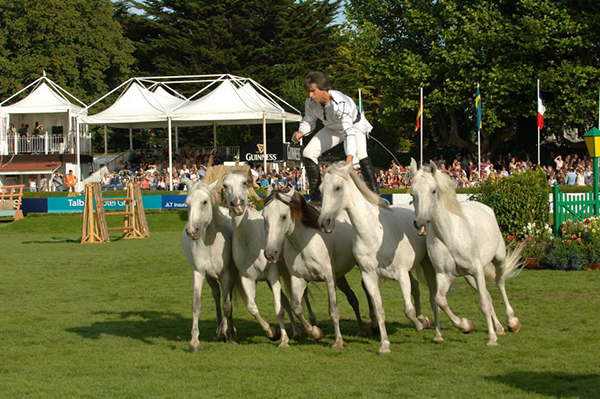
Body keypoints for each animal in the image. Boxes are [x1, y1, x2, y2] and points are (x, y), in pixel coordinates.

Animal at [183, 180, 239, 352]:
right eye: (187, 204)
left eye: (204, 202)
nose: (191, 230)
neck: (209, 243)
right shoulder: (199, 273)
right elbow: (196, 304)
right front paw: (194, 342)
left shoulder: (227, 275)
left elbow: (227, 306)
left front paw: (231, 335)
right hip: (210, 277)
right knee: (216, 295)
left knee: (227, 299)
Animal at [221, 170, 302, 346]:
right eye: (225, 185)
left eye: (244, 183)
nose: (237, 204)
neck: (250, 239)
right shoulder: (247, 278)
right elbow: (252, 308)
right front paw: (272, 333)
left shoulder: (272, 276)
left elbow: (278, 309)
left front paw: (283, 339)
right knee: (287, 302)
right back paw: (297, 331)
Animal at [264, 188, 372, 350]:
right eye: (264, 216)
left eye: (283, 216)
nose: (270, 253)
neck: (304, 244)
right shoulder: (299, 278)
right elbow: (297, 308)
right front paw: (316, 333)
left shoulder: (328, 278)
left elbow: (333, 310)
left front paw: (338, 342)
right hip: (339, 276)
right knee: (352, 298)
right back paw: (362, 330)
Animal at [318, 162, 436, 356]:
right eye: (321, 189)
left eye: (337, 187)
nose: (324, 222)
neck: (375, 234)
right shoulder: (369, 276)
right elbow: (380, 310)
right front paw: (385, 345)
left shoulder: (401, 274)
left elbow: (408, 309)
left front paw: (420, 324)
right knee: (416, 289)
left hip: (424, 263)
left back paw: (425, 321)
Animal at [410, 159, 524, 346]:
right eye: (412, 193)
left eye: (433, 190)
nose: (420, 224)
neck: (449, 235)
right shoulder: (444, 274)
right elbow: (440, 300)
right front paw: (465, 325)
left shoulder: (477, 269)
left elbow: (483, 303)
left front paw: (491, 339)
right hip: (470, 277)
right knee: (488, 295)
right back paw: (499, 328)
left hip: (498, 260)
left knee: (500, 283)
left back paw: (512, 323)